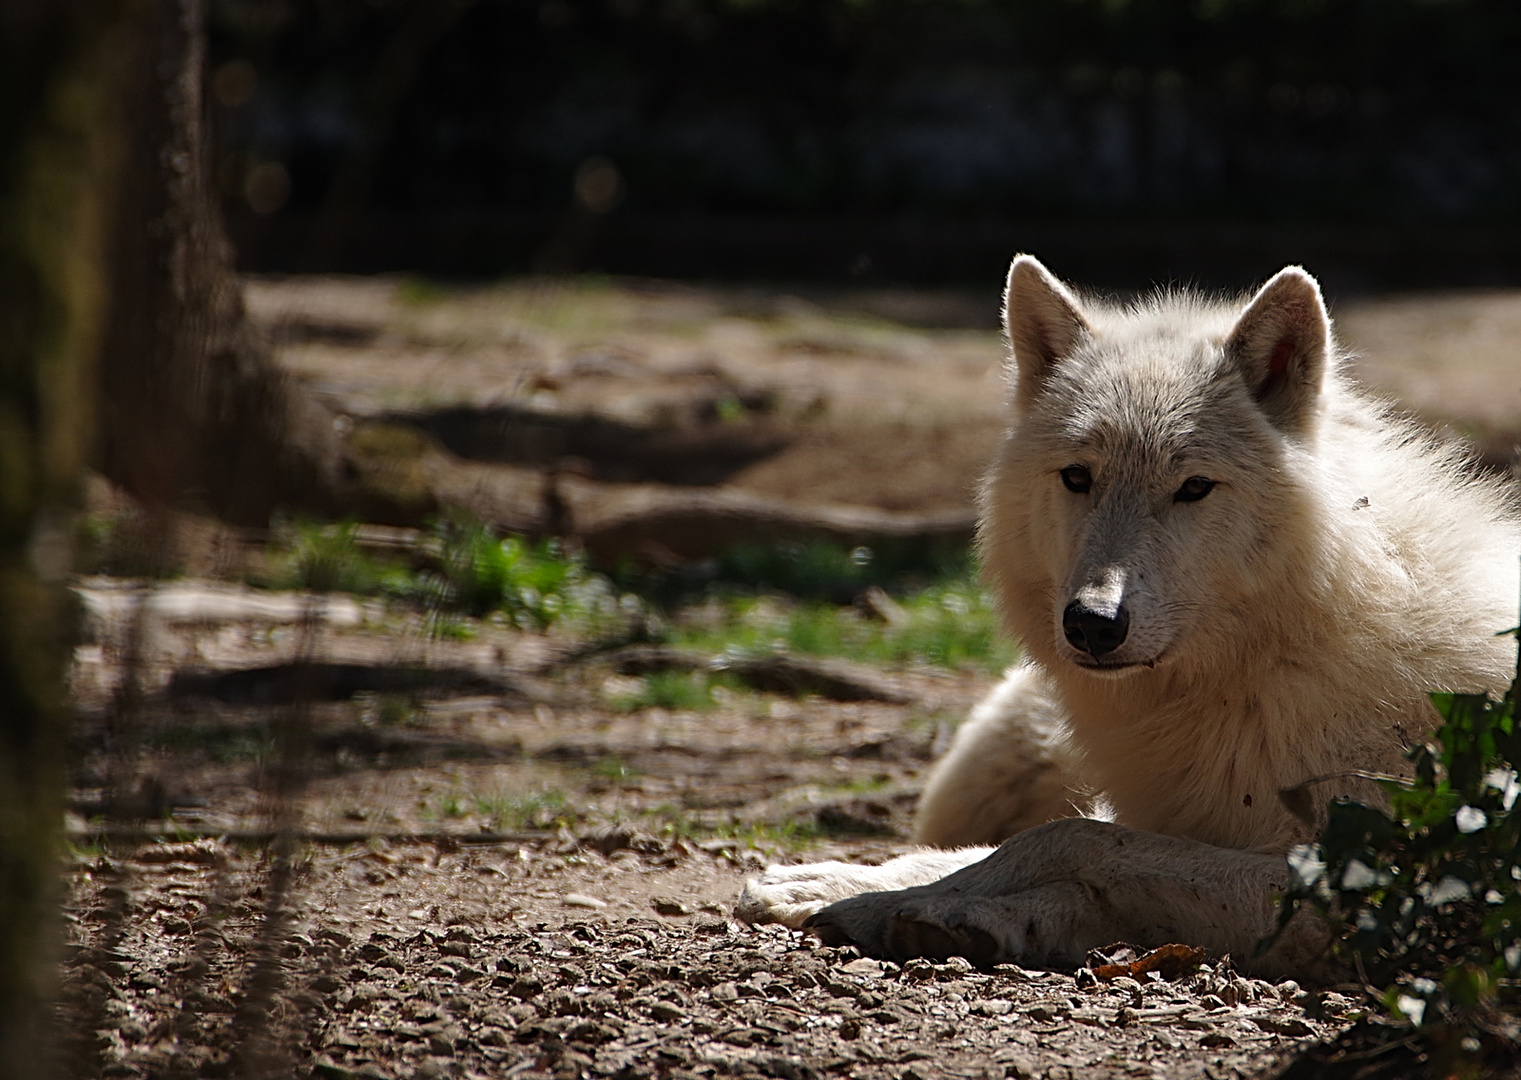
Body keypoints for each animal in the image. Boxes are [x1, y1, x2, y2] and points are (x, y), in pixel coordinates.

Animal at [736, 255, 1521, 979]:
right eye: (1077, 477)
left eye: (1193, 488)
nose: (1092, 623)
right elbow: (1043, 851)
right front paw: (849, 886)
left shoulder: (1358, 888)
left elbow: (1063, 840)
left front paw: (914, 905)